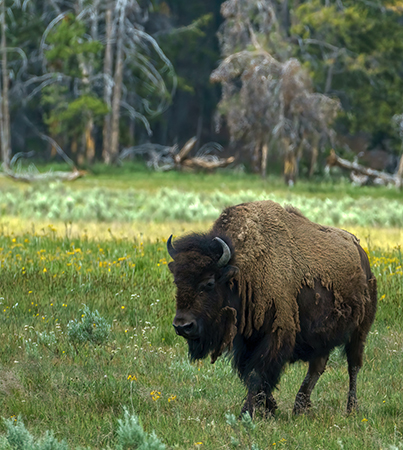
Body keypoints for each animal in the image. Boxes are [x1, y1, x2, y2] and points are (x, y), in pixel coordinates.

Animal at [166, 202, 376, 416]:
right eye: (177, 281)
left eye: (209, 283)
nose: (182, 326)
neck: (242, 271)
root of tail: (360, 252)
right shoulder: (247, 340)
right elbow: (250, 374)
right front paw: (270, 409)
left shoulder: (276, 334)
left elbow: (258, 373)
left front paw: (247, 413)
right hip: (323, 333)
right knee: (318, 365)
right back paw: (300, 408)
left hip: (359, 330)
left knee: (353, 365)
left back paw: (351, 408)